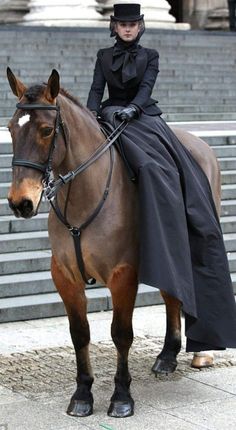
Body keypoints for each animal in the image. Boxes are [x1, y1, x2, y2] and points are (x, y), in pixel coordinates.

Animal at [6, 69, 221, 418]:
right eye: (11, 129)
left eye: (46, 130)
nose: (19, 203)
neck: (86, 193)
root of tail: (199, 142)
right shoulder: (64, 276)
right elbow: (79, 333)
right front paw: (82, 394)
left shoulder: (123, 275)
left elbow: (121, 334)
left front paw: (121, 396)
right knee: (172, 295)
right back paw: (168, 355)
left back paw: (203, 353)